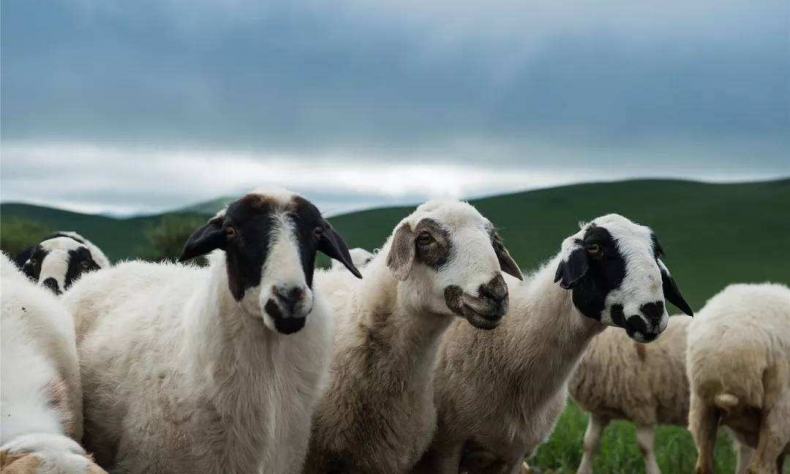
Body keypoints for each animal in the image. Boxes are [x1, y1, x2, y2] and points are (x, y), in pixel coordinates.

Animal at [569, 315, 693, 474]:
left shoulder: (642, 406)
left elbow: (644, 447)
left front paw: (653, 470)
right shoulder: (600, 412)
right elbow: (589, 443)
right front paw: (583, 470)